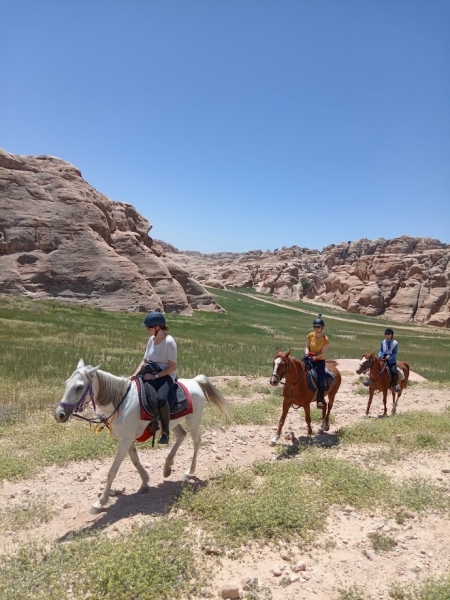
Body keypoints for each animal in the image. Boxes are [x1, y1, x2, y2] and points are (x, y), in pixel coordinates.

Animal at [55, 358, 232, 512]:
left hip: (193, 420)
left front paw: (101, 502)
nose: (59, 415)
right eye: (66, 384)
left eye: (79, 387)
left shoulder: (125, 441)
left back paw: (189, 472)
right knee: (181, 435)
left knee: (196, 441)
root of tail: (195, 381)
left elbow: (112, 470)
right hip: (172, 423)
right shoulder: (127, 440)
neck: (120, 404)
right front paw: (145, 483)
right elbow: (135, 461)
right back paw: (167, 467)